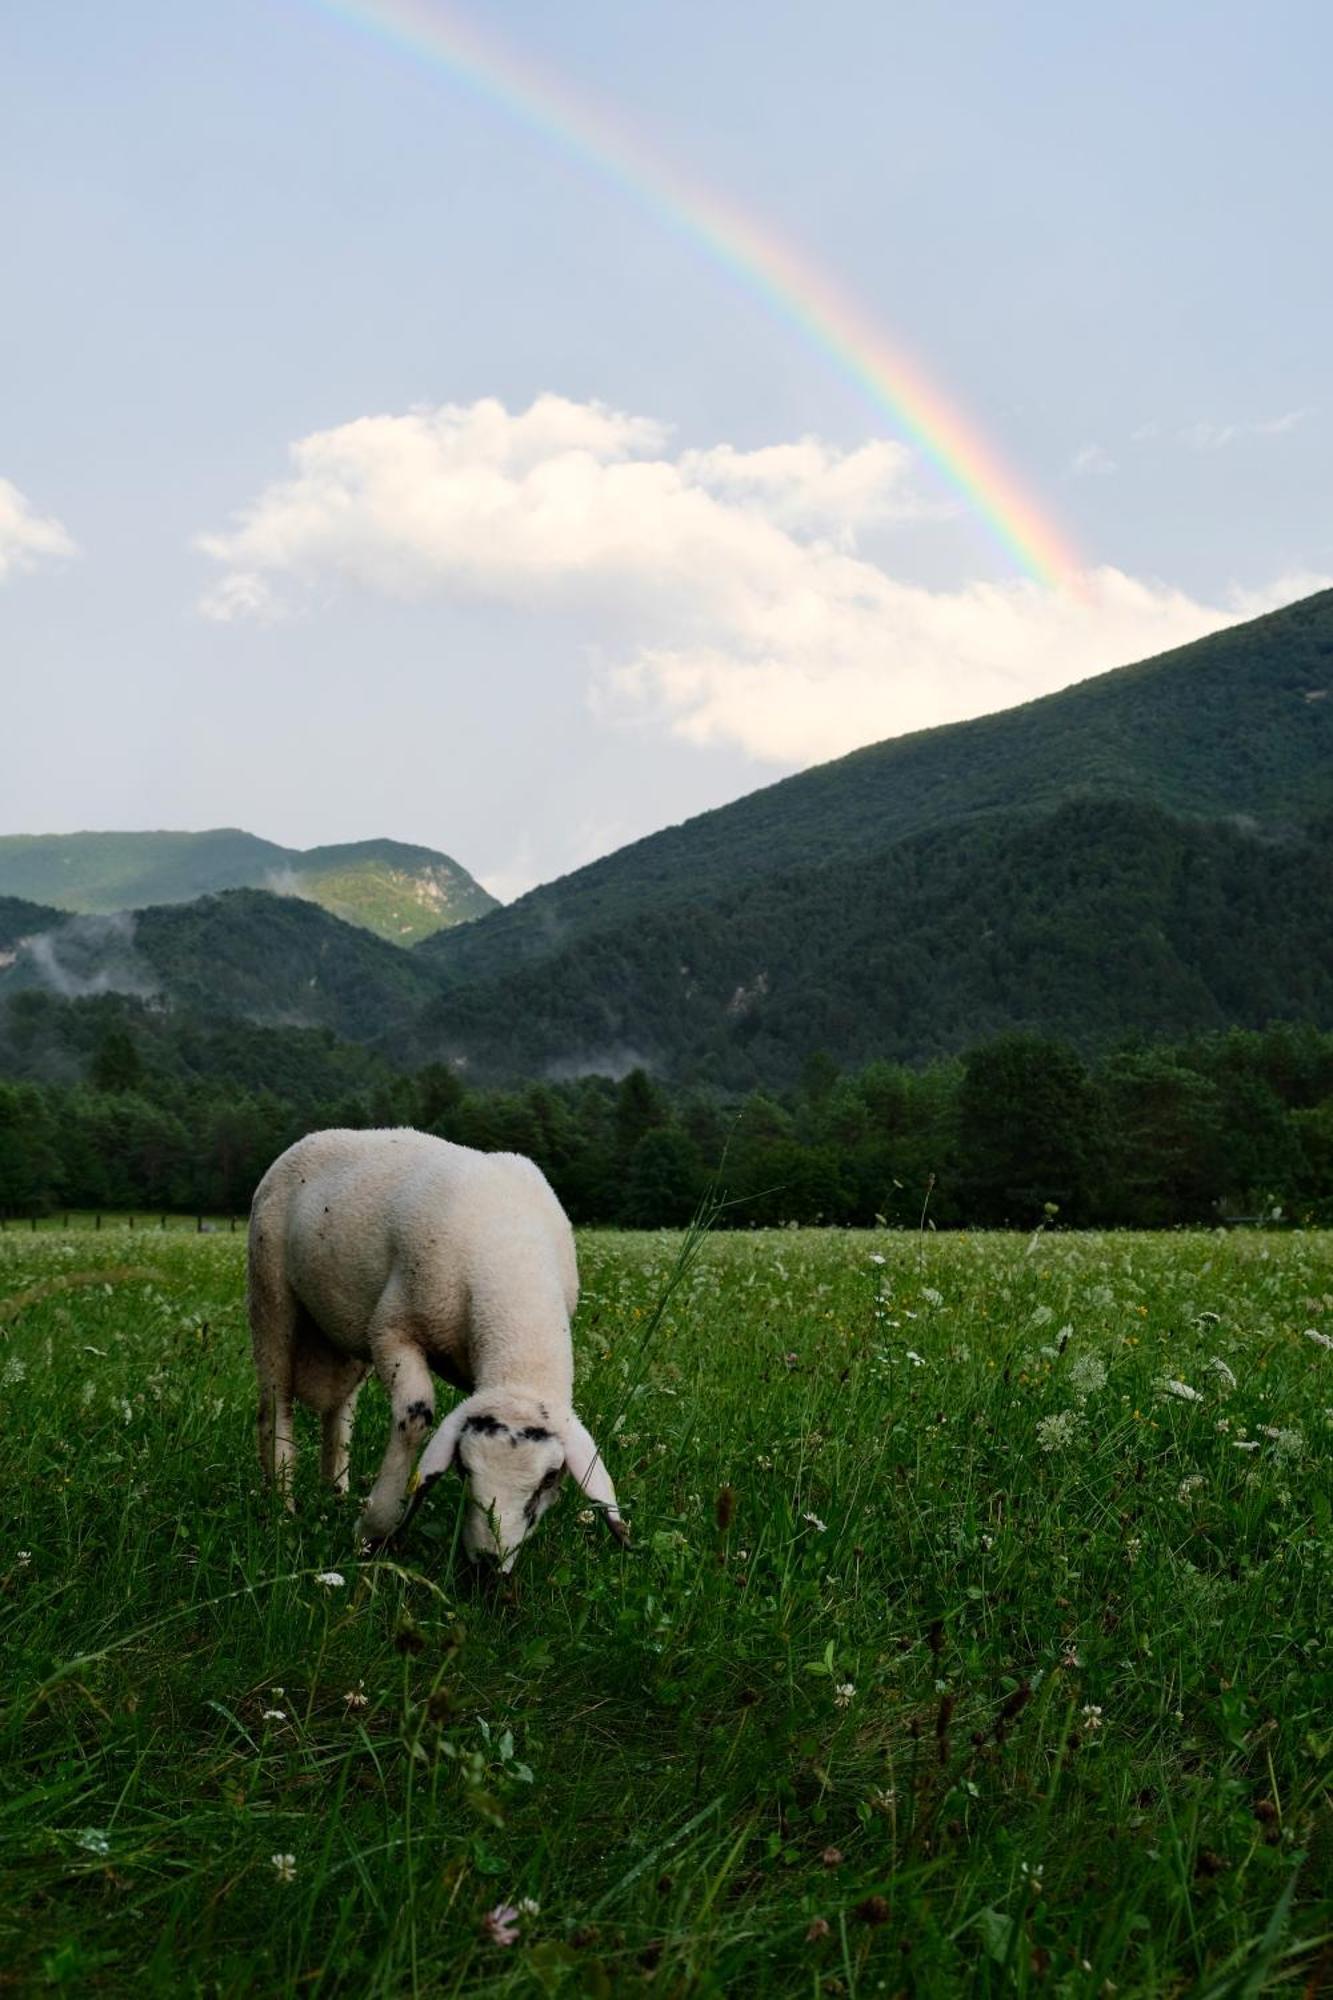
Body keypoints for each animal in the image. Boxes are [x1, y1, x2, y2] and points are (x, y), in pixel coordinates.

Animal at [248, 1128, 624, 1560]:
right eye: (464, 1468)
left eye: (549, 1479)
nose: (488, 1564)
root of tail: (313, 1136)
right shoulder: (392, 1330)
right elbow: (416, 1416)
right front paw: (374, 1530)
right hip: (269, 1291)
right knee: (276, 1405)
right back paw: (283, 1507)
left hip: (343, 1331)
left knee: (339, 1413)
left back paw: (336, 1493)